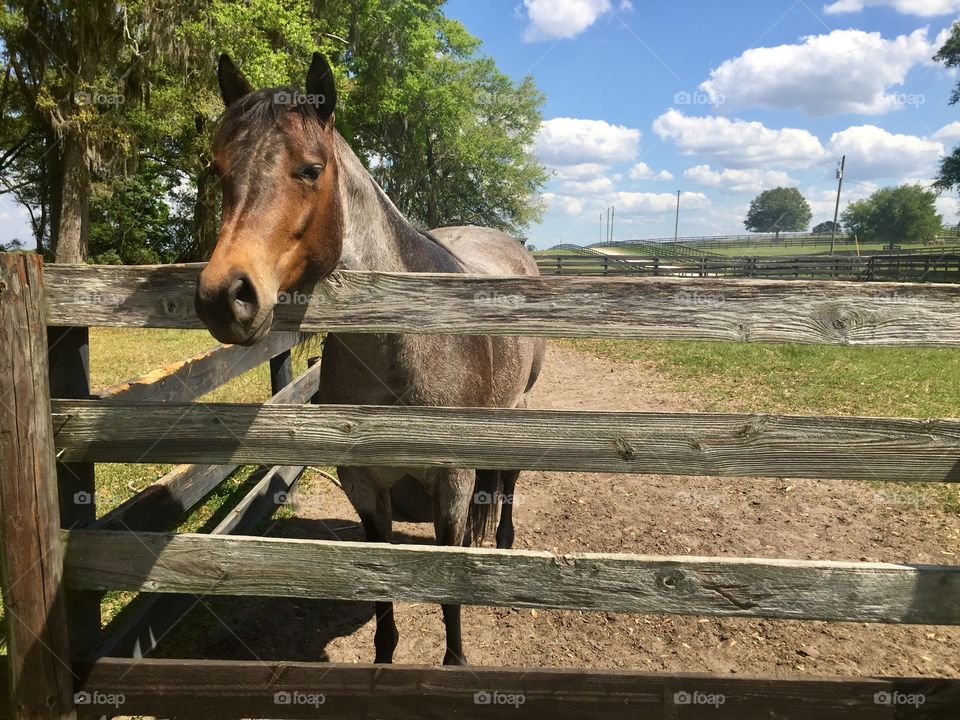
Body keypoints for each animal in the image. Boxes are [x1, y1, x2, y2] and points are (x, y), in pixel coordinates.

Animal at [194, 52, 545, 666]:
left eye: (311, 169)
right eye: (218, 170)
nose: (224, 295)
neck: (401, 354)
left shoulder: (452, 483)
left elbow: (448, 585)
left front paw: (455, 660)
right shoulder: (363, 484)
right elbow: (379, 575)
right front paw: (384, 657)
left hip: (516, 412)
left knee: (506, 481)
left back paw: (502, 546)